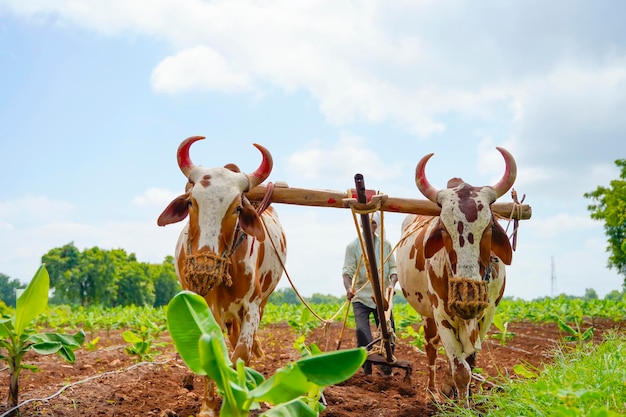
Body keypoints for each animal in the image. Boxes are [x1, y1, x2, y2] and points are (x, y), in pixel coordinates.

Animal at [156, 135, 286, 414]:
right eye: (191, 201)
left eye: (237, 208)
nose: (204, 267)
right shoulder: (200, 304)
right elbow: (209, 348)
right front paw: (207, 407)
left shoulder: (252, 306)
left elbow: (241, 354)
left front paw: (237, 401)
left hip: (262, 303)